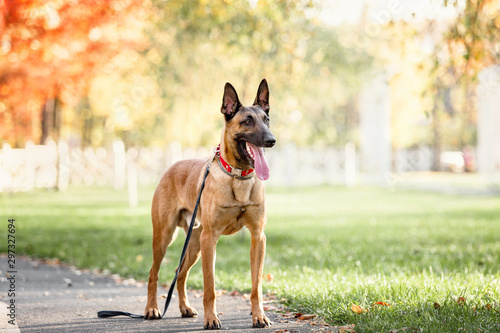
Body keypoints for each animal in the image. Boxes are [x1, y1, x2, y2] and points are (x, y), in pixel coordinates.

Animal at [145, 79, 278, 328]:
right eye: (247, 121)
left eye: (266, 119)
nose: (271, 140)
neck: (238, 176)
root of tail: (171, 167)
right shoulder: (210, 239)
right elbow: (210, 288)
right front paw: (211, 319)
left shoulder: (258, 237)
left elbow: (256, 286)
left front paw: (259, 316)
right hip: (165, 237)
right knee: (153, 273)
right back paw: (151, 309)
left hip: (194, 243)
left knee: (180, 272)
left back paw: (185, 308)